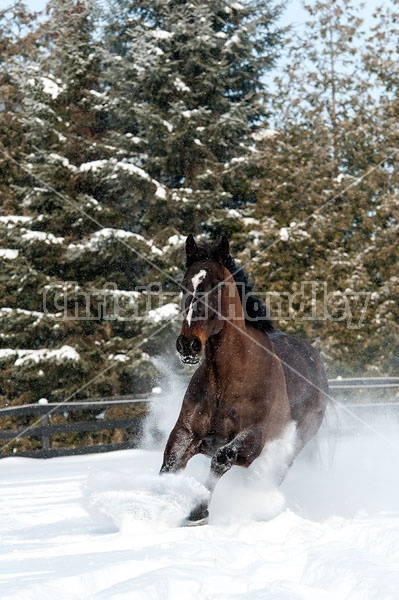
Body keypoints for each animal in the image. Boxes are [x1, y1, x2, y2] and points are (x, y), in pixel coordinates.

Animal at [159, 234, 328, 524]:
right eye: (184, 285)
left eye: (216, 287)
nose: (188, 345)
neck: (226, 382)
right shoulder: (186, 432)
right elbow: (170, 465)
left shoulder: (253, 438)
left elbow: (221, 459)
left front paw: (197, 512)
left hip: (294, 443)